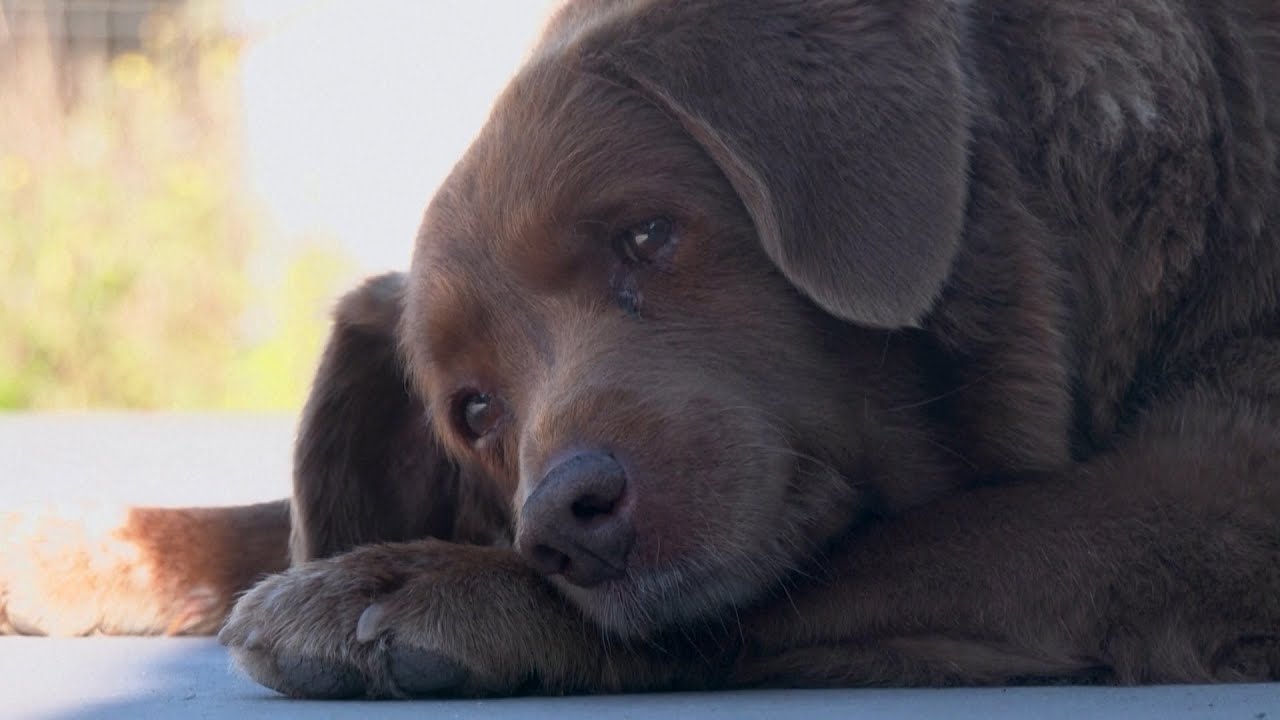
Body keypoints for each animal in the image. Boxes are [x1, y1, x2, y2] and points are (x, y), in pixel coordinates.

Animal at [2, 0, 1280, 696]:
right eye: (474, 412)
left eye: (649, 234)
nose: (561, 520)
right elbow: (271, 514)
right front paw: (72, 546)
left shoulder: (1217, 503)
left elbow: (908, 542)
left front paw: (422, 584)